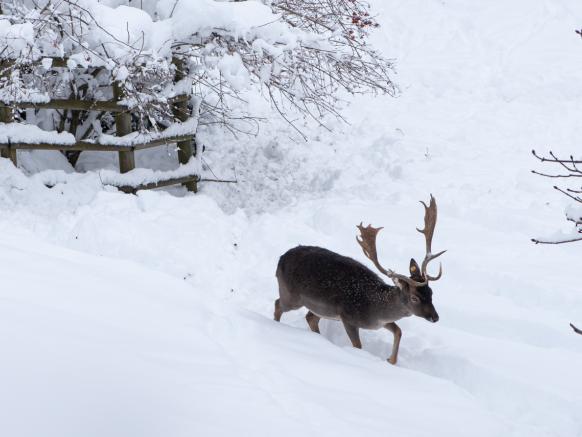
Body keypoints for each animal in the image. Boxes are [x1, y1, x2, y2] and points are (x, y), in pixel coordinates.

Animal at [274, 196, 448, 362]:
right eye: (414, 298)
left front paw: (390, 360)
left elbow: (398, 331)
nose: (435, 317)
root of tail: (280, 259)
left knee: (310, 317)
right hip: (291, 295)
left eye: (431, 292)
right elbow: (358, 346)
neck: (374, 309)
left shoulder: (381, 322)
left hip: (321, 308)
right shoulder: (347, 317)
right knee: (278, 304)